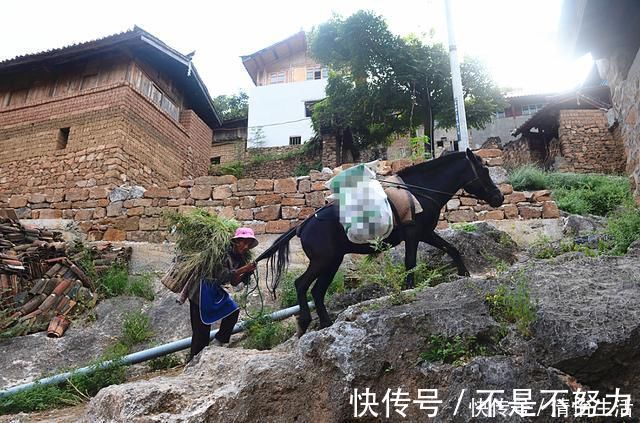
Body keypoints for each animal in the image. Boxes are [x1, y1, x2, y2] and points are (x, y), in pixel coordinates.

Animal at [258, 149, 502, 338]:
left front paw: (464, 274)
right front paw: (409, 292)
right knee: (301, 284)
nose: (499, 198)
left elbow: (452, 248)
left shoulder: (426, 233)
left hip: (332, 262)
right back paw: (305, 321)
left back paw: (326, 324)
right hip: (323, 261)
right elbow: (410, 264)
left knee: (317, 291)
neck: (419, 191)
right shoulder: (414, 235)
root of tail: (303, 225)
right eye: (485, 171)